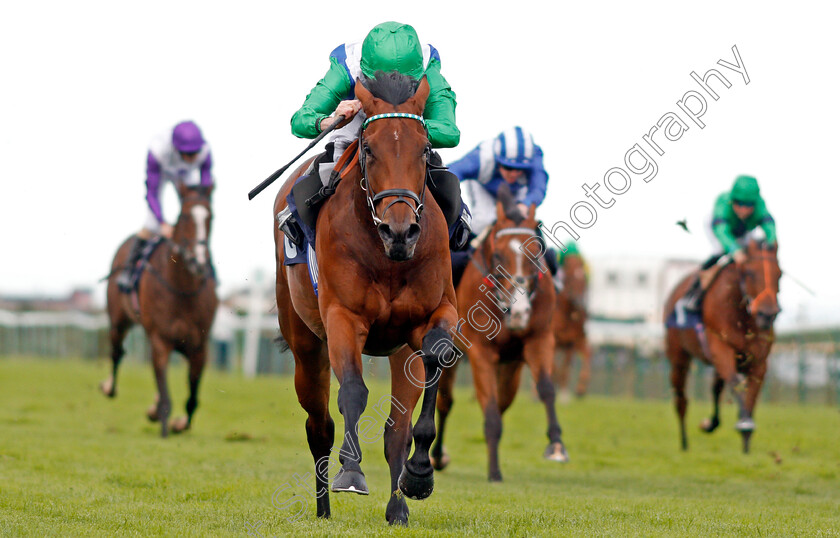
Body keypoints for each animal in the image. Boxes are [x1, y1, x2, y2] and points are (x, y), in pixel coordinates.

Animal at [100, 182, 218, 438]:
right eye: (184, 216)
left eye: (210, 216)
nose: (198, 261)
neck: (182, 289)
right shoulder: (160, 340)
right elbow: (165, 396)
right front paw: (164, 425)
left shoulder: (199, 346)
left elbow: (192, 398)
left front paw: (180, 423)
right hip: (118, 321)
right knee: (116, 352)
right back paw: (108, 387)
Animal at [272, 72, 456, 524]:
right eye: (369, 148)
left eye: (424, 148)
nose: (400, 231)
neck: (388, 257)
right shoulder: (344, 316)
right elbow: (353, 392)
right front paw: (351, 472)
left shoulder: (435, 313)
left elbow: (437, 354)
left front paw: (420, 476)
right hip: (305, 344)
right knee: (319, 425)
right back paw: (323, 508)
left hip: (400, 349)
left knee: (395, 429)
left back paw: (398, 506)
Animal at [430, 184, 568, 482]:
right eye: (498, 256)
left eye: (536, 254)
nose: (519, 311)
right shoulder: (480, 351)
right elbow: (490, 410)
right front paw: (494, 471)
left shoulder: (539, 339)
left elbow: (546, 389)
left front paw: (556, 445)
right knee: (445, 402)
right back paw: (436, 456)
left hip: (511, 366)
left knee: (503, 400)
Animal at [552, 251, 592, 398]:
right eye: (570, 278)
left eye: (584, 279)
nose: (579, 302)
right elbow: (555, 366)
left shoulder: (572, 340)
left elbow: (566, 366)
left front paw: (566, 392)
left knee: (588, 354)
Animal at [668, 240, 784, 452]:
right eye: (750, 273)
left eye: (780, 274)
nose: (767, 313)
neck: (743, 316)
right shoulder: (720, 348)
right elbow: (736, 383)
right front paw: (744, 424)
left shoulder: (759, 361)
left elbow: (751, 393)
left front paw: (746, 440)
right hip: (678, 357)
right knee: (681, 398)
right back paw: (684, 443)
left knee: (716, 388)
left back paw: (710, 424)